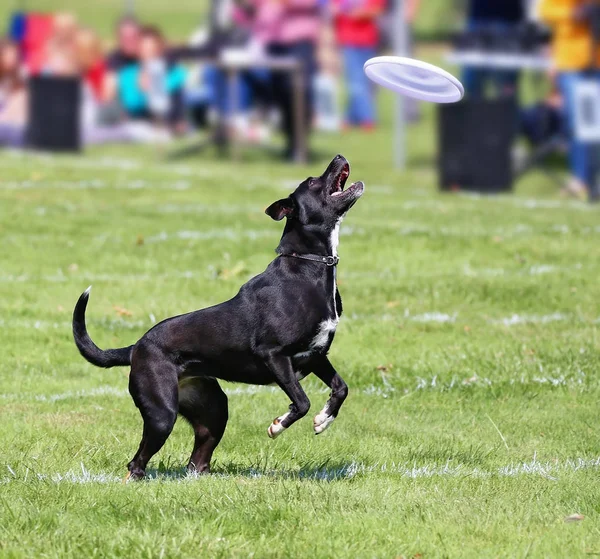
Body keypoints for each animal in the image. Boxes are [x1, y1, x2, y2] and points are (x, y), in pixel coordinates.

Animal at [72, 154, 364, 482]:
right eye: (313, 181)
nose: (338, 157)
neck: (308, 266)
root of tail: (136, 347)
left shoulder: (315, 354)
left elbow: (341, 388)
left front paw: (323, 420)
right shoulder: (274, 355)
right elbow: (301, 402)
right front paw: (278, 425)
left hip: (212, 407)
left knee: (197, 459)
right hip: (162, 413)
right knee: (137, 462)